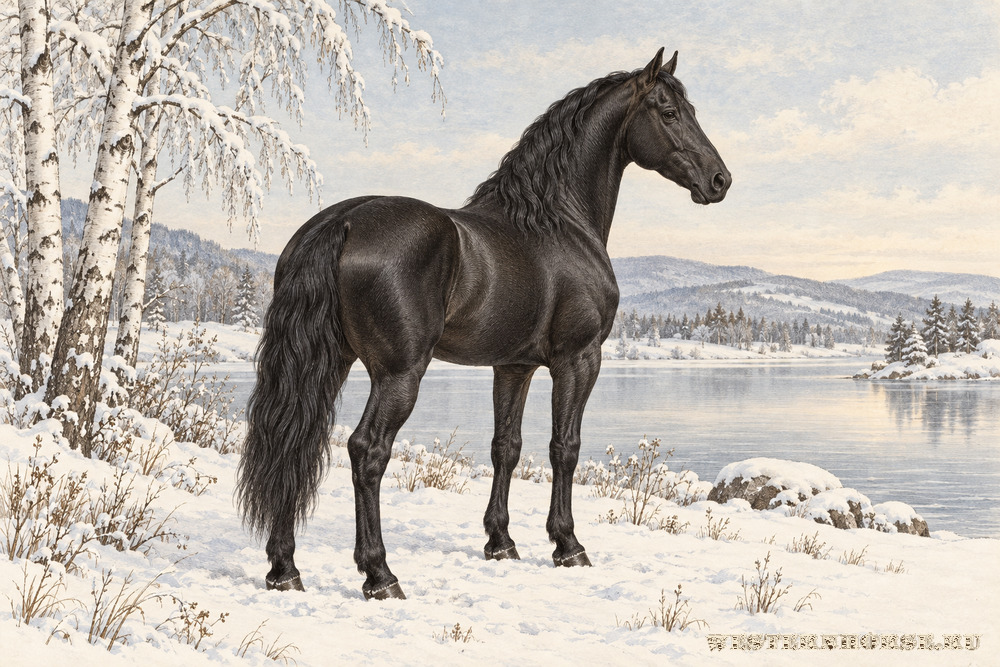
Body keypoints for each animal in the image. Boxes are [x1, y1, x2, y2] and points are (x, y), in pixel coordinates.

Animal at [237, 48, 731, 600]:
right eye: (668, 112)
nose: (719, 180)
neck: (559, 224)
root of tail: (340, 221)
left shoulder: (513, 367)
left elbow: (506, 448)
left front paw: (501, 542)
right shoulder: (578, 359)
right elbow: (565, 448)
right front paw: (568, 545)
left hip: (331, 362)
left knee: (294, 440)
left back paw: (284, 570)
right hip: (399, 374)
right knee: (367, 451)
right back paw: (380, 575)